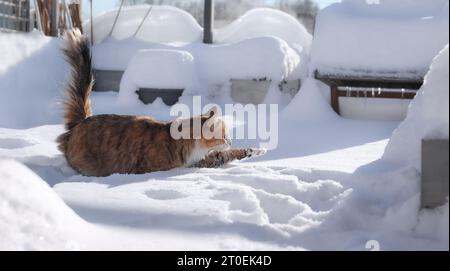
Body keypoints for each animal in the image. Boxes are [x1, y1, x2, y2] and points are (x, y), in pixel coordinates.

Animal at [57, 29, 266, 178]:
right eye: (224, 135)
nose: (230, 141)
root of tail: (82, 121)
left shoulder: (200, 160)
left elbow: (230, 154)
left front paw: (257, 150)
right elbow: (225, 155)